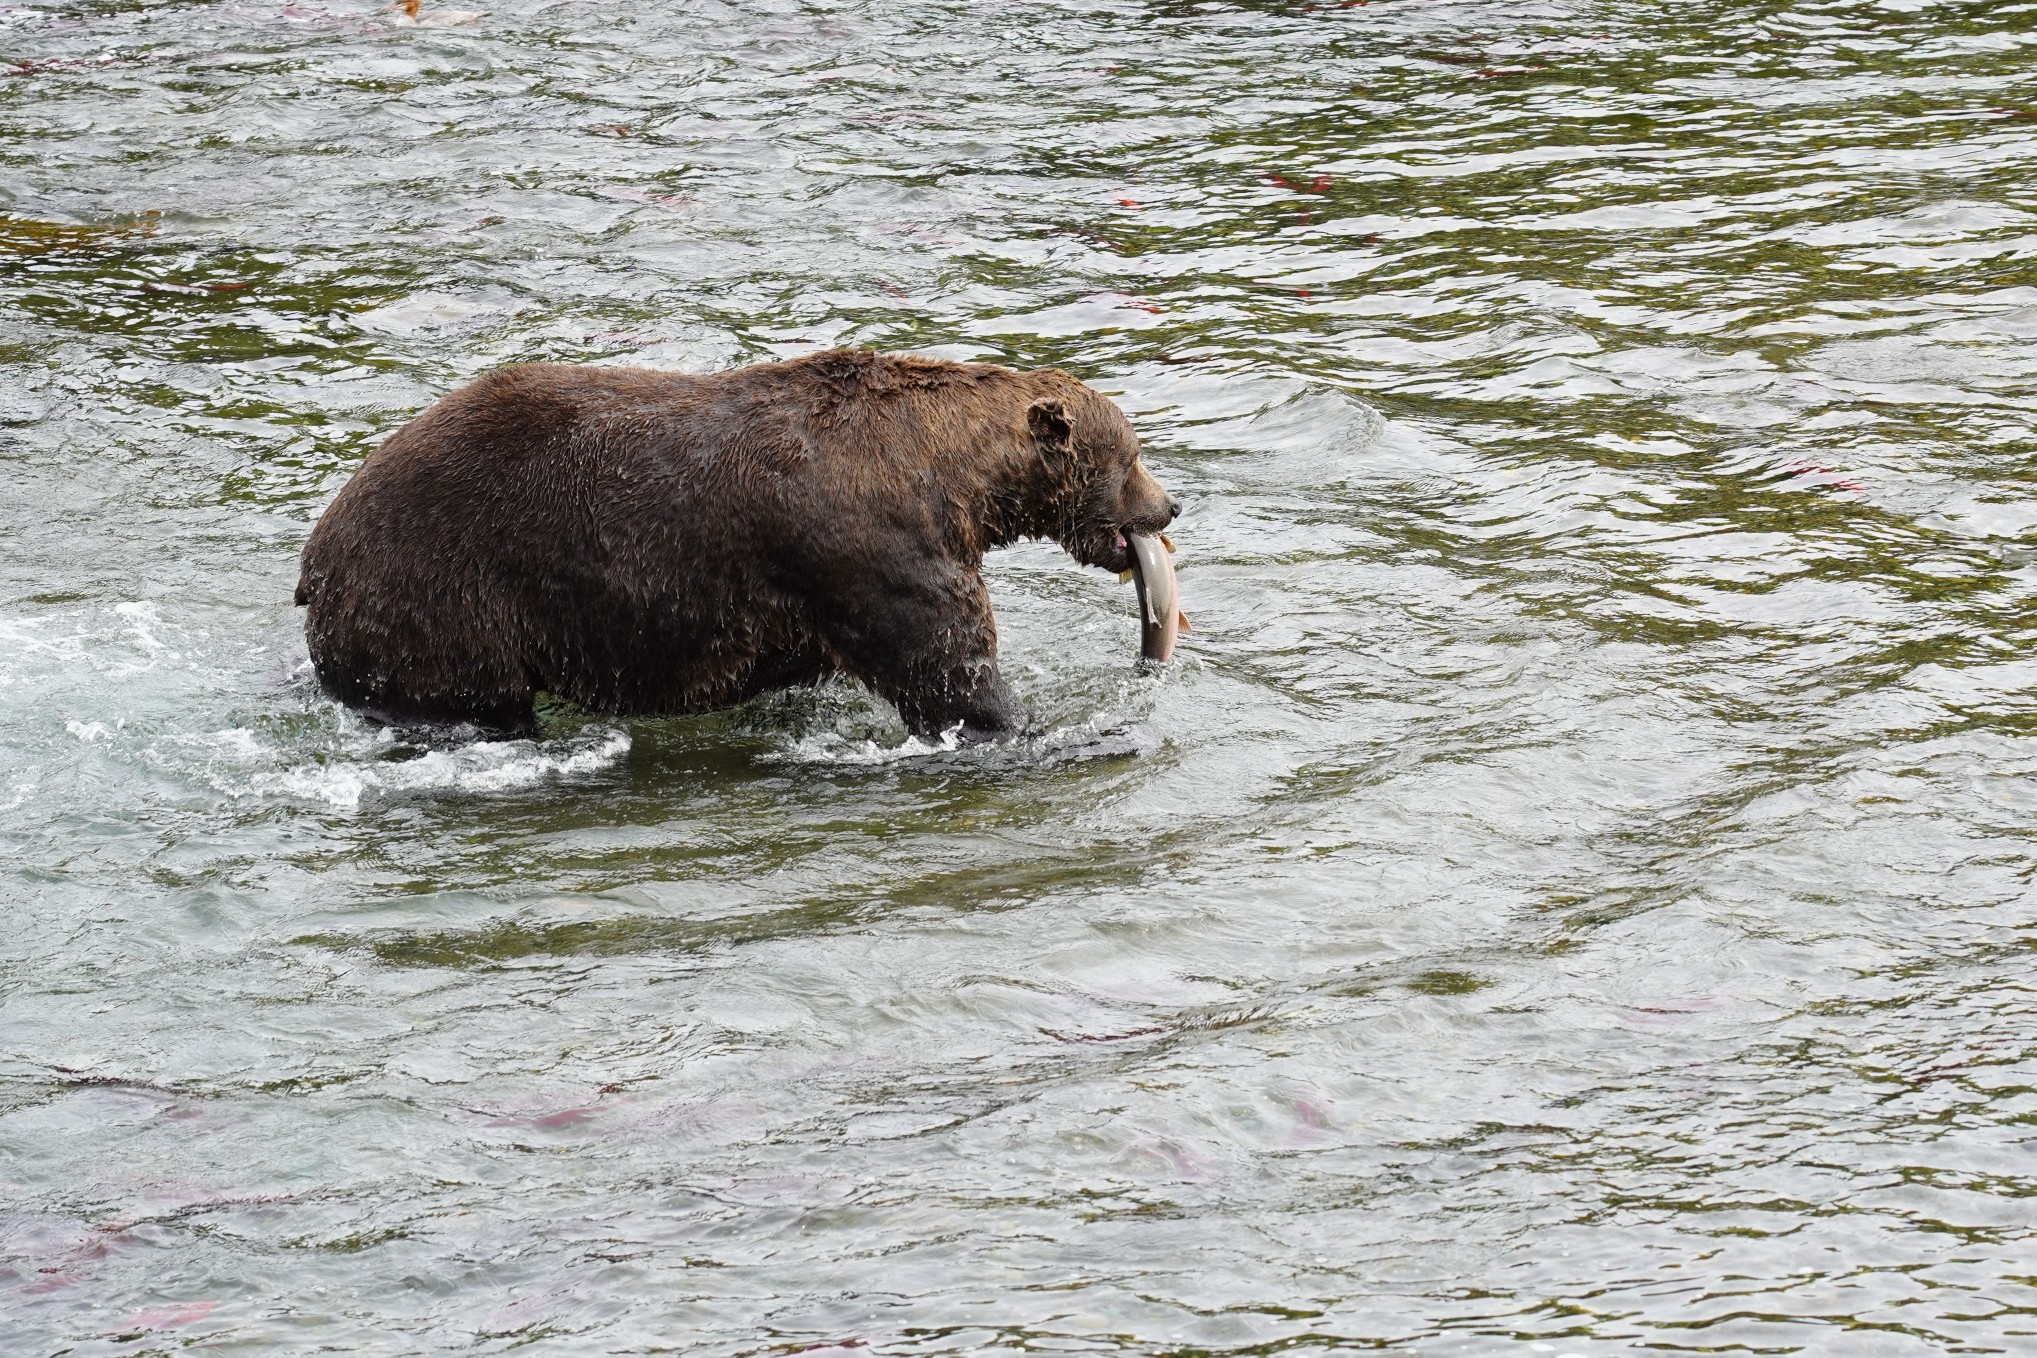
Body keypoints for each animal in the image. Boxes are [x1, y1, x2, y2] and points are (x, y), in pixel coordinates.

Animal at [287, 346, 1181, 737]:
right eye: (1131, 455)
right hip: (442, 590)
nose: (1168, 507)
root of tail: (314, 552)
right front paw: (1030, 721)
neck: (955, 478)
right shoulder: (876, 544)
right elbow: (945, 665)